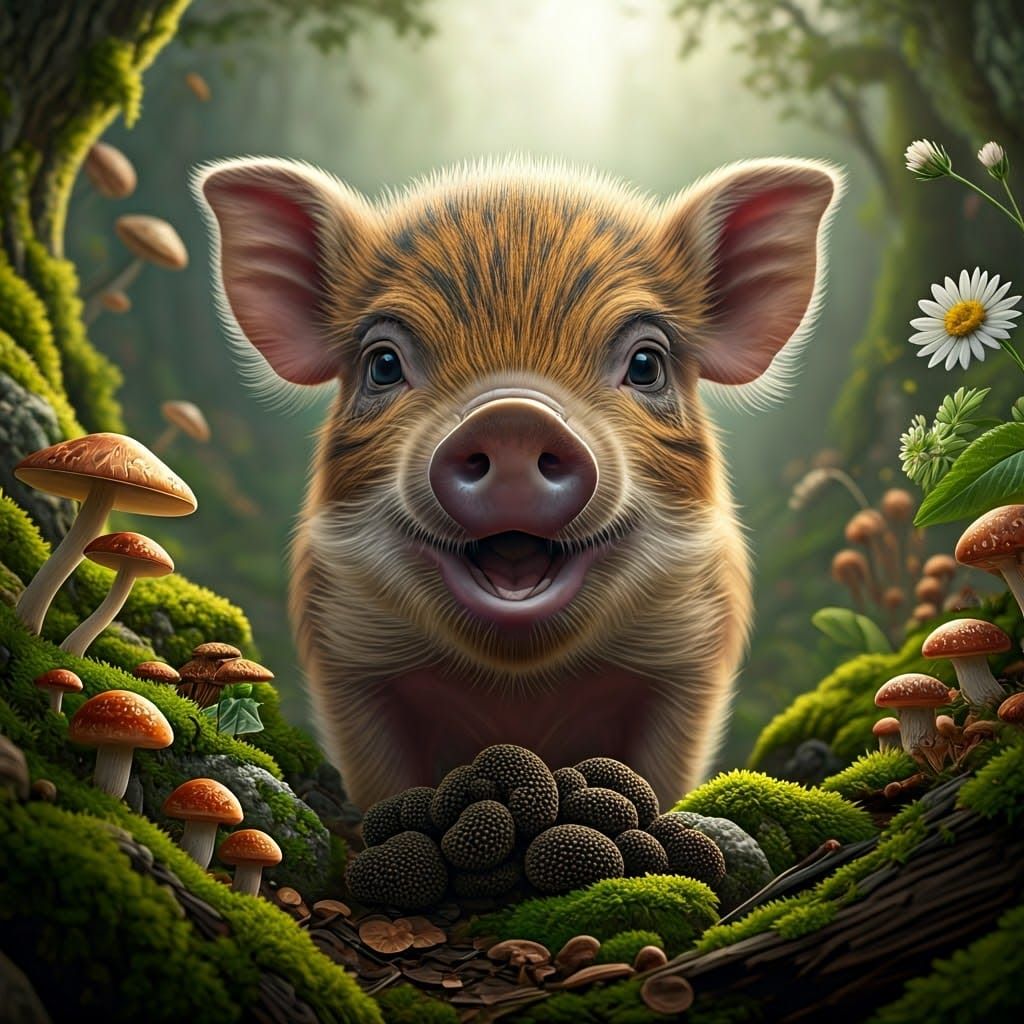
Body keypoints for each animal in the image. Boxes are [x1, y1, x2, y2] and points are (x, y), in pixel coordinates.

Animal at [196, 155, 841, 811]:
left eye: (645, 364)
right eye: (383, 364)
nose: (513, 419)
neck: (519, 687)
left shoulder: (691, 659)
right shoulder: (348, 659)